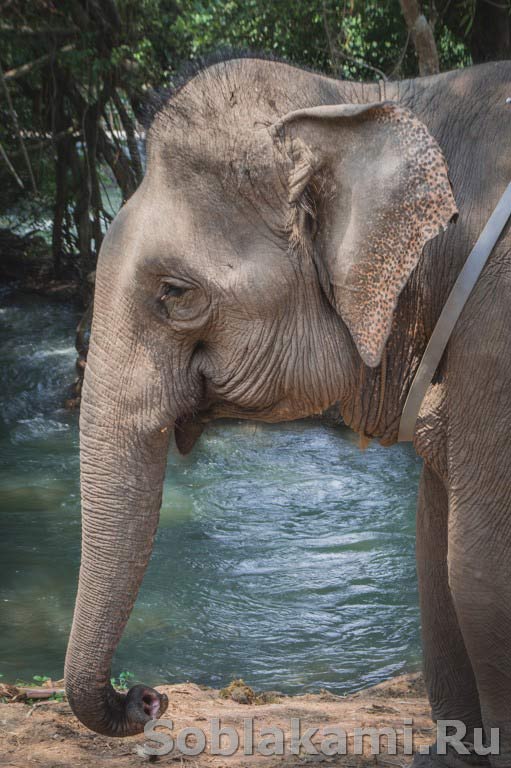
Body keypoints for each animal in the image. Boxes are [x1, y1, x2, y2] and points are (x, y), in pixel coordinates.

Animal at [64, 55, 511, 768]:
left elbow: (480, 574)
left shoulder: (500, 334)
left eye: (175, 293)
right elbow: (435, 556)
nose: (147, 697)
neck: (375, 100)